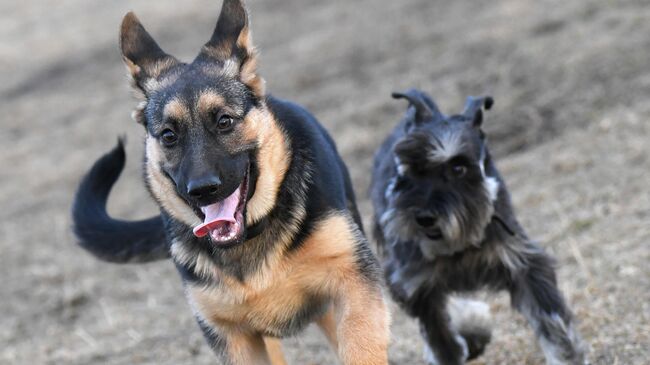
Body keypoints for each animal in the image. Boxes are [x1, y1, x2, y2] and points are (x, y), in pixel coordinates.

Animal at [75, 1, 390, 362]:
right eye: (168, 135)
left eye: (224, 121)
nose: (202, 189)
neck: (250, 236)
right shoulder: (232, 335)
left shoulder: (353, 283)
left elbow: (361, 348)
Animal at [370, 89, 588, 364]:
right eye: (411, 168)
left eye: (458, 167)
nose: (424, 218)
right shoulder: (417, 287)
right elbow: (442, 342)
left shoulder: (524, 264)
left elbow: (554, 325)